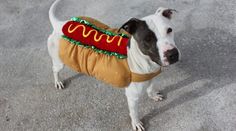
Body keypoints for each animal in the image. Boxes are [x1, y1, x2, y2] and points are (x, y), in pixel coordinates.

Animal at [47, 0, 181, 130]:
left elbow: (151, 87)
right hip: (59, 62)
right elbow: (134, 113)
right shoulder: (132, 97)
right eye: (147, 39)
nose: (173, 54)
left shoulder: (151, 76)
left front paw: (153, 95)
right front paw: (136, 123)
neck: (142, 59)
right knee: (54, 69)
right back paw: (58, 81)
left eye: (169, 30)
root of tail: (60, 24)